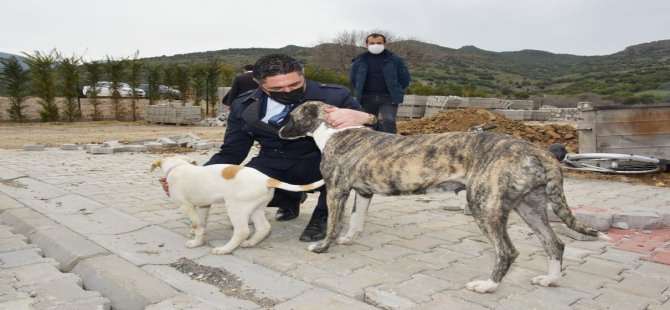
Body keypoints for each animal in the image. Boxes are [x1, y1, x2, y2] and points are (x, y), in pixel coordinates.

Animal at [151, 155, 324, 254]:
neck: (178, 166)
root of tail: (266, 178)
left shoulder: (186, 207)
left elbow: (197, 225)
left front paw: (196, 243)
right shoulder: (204, 206)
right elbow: (202, 222)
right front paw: (198, 236)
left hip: (235, 208)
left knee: (242, 231)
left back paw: (224, 249)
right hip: (256, 209)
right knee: (263, 228)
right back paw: (250, 243)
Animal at [276, 101, 612, 294]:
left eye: (291, 115)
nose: (277, 131)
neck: (335, 131)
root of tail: (538, 152)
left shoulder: (336, 190)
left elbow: (333, 223)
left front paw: (324, 246)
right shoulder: (364, 192)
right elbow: (356, 220)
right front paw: (348, 239)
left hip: (484, 206)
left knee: (507, 251)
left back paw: (488, 285)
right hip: (530, 207)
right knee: (555, 243)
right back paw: (551, 280)